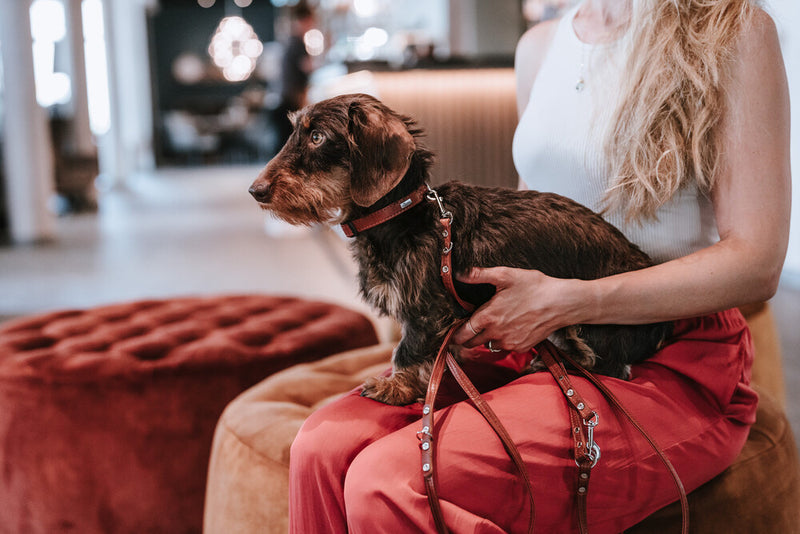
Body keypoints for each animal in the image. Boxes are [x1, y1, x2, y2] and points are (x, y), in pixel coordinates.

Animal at [248, 95, 668, 406]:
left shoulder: (426, 311)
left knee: (611, 365)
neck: (405, 216)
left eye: (317, 137)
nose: (255, 190)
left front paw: (396, 385)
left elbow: (407, 348)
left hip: (591, 321)